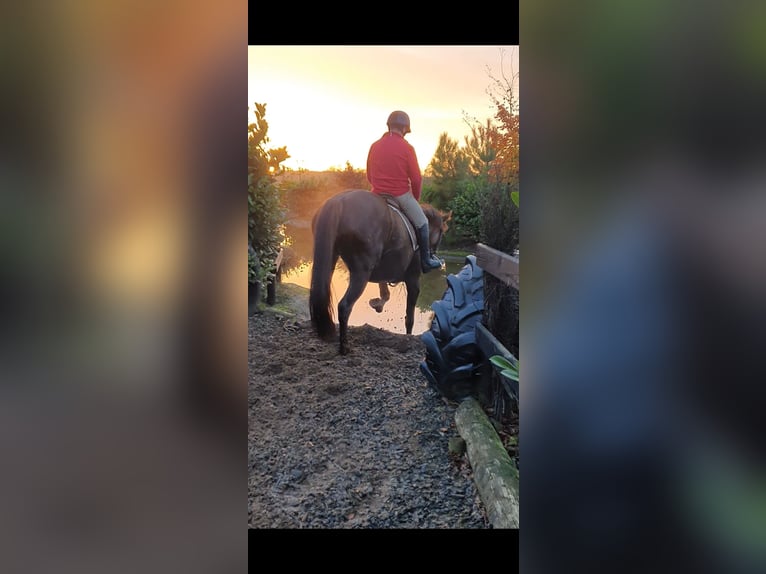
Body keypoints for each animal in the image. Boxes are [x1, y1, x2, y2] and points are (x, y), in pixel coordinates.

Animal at [308, 189, 448, 356]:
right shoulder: (413, 280)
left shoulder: (384, 273)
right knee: (345, 306)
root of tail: (338, 201)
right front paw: (408, 339)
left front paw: (377, 304)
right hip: (361, 273)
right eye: (441, 232)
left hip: (330, 260)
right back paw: (344, 347)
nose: (433, 255)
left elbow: (385, 293)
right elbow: (410, 317)